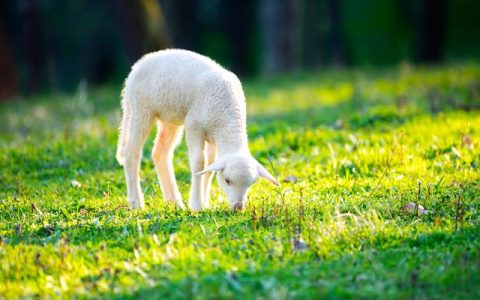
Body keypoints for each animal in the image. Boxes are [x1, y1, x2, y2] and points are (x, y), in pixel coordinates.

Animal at [115, 49, 278, 211]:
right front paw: (196, 205)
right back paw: (136, 202)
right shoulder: (194, 126)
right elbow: (199, 162)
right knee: (131, 153)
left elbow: (210, 166)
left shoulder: (212, 135)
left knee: (160, 153)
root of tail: (136, 67)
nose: (238, 207)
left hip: (170, 117)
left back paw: (175, 201)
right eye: (227, 181)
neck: (227, 119)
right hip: (141, 109)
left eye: (251, 184)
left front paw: (205, 203)